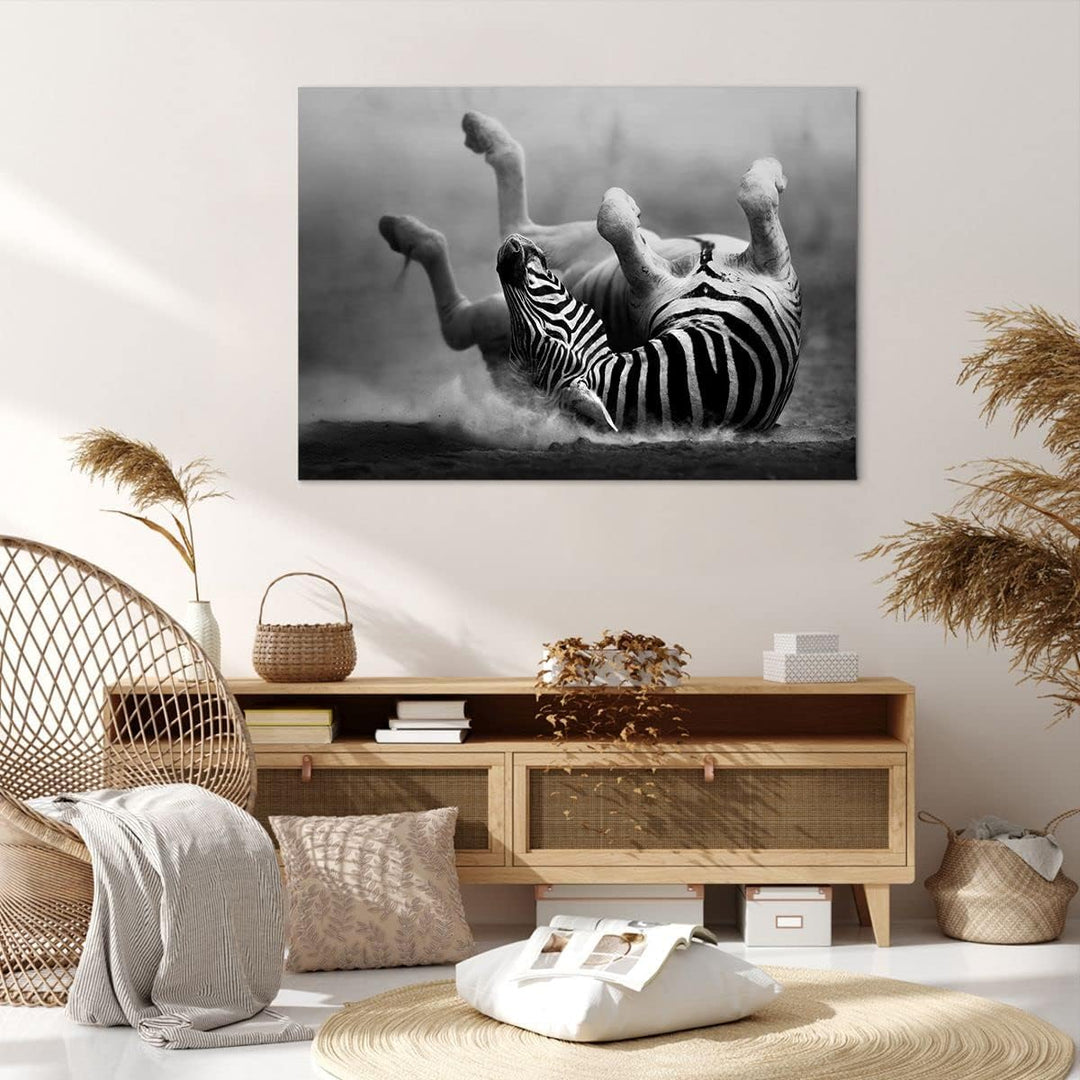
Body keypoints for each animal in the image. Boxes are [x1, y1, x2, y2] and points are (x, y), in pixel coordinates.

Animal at [378, 111, 801, 432]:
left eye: (549, 333)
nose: (508, 260)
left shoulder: (775, 270)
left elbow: (754, 197)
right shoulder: (653, 285)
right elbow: (618, 222)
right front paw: (624, 203)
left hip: (542, 264)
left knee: (476, 292)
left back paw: (412, 224)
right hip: (559, 251)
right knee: (505, 243)